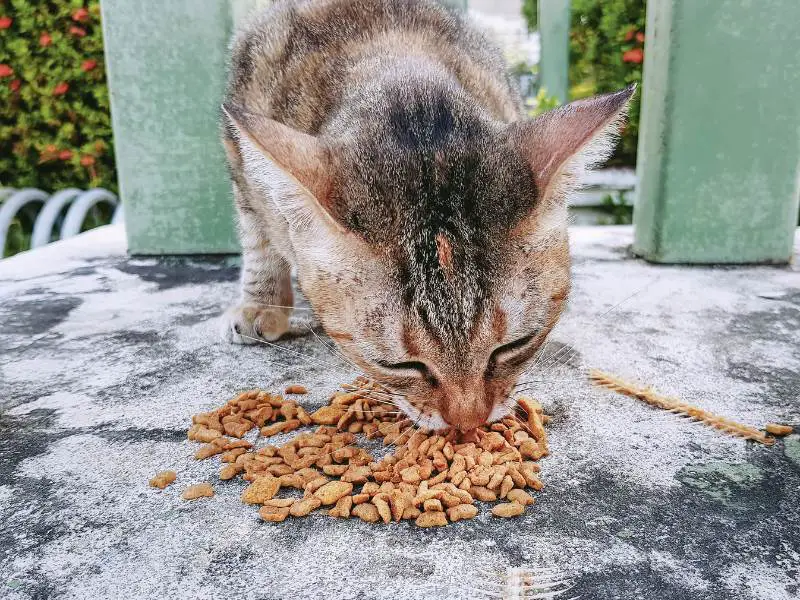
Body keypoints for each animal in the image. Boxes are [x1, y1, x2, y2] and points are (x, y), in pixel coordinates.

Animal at [219, 0, 632, 432]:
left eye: (515, 344)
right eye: (400, 365)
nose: (468, 422)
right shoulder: (238, 152)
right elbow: (258, 238)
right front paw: (262, 305)